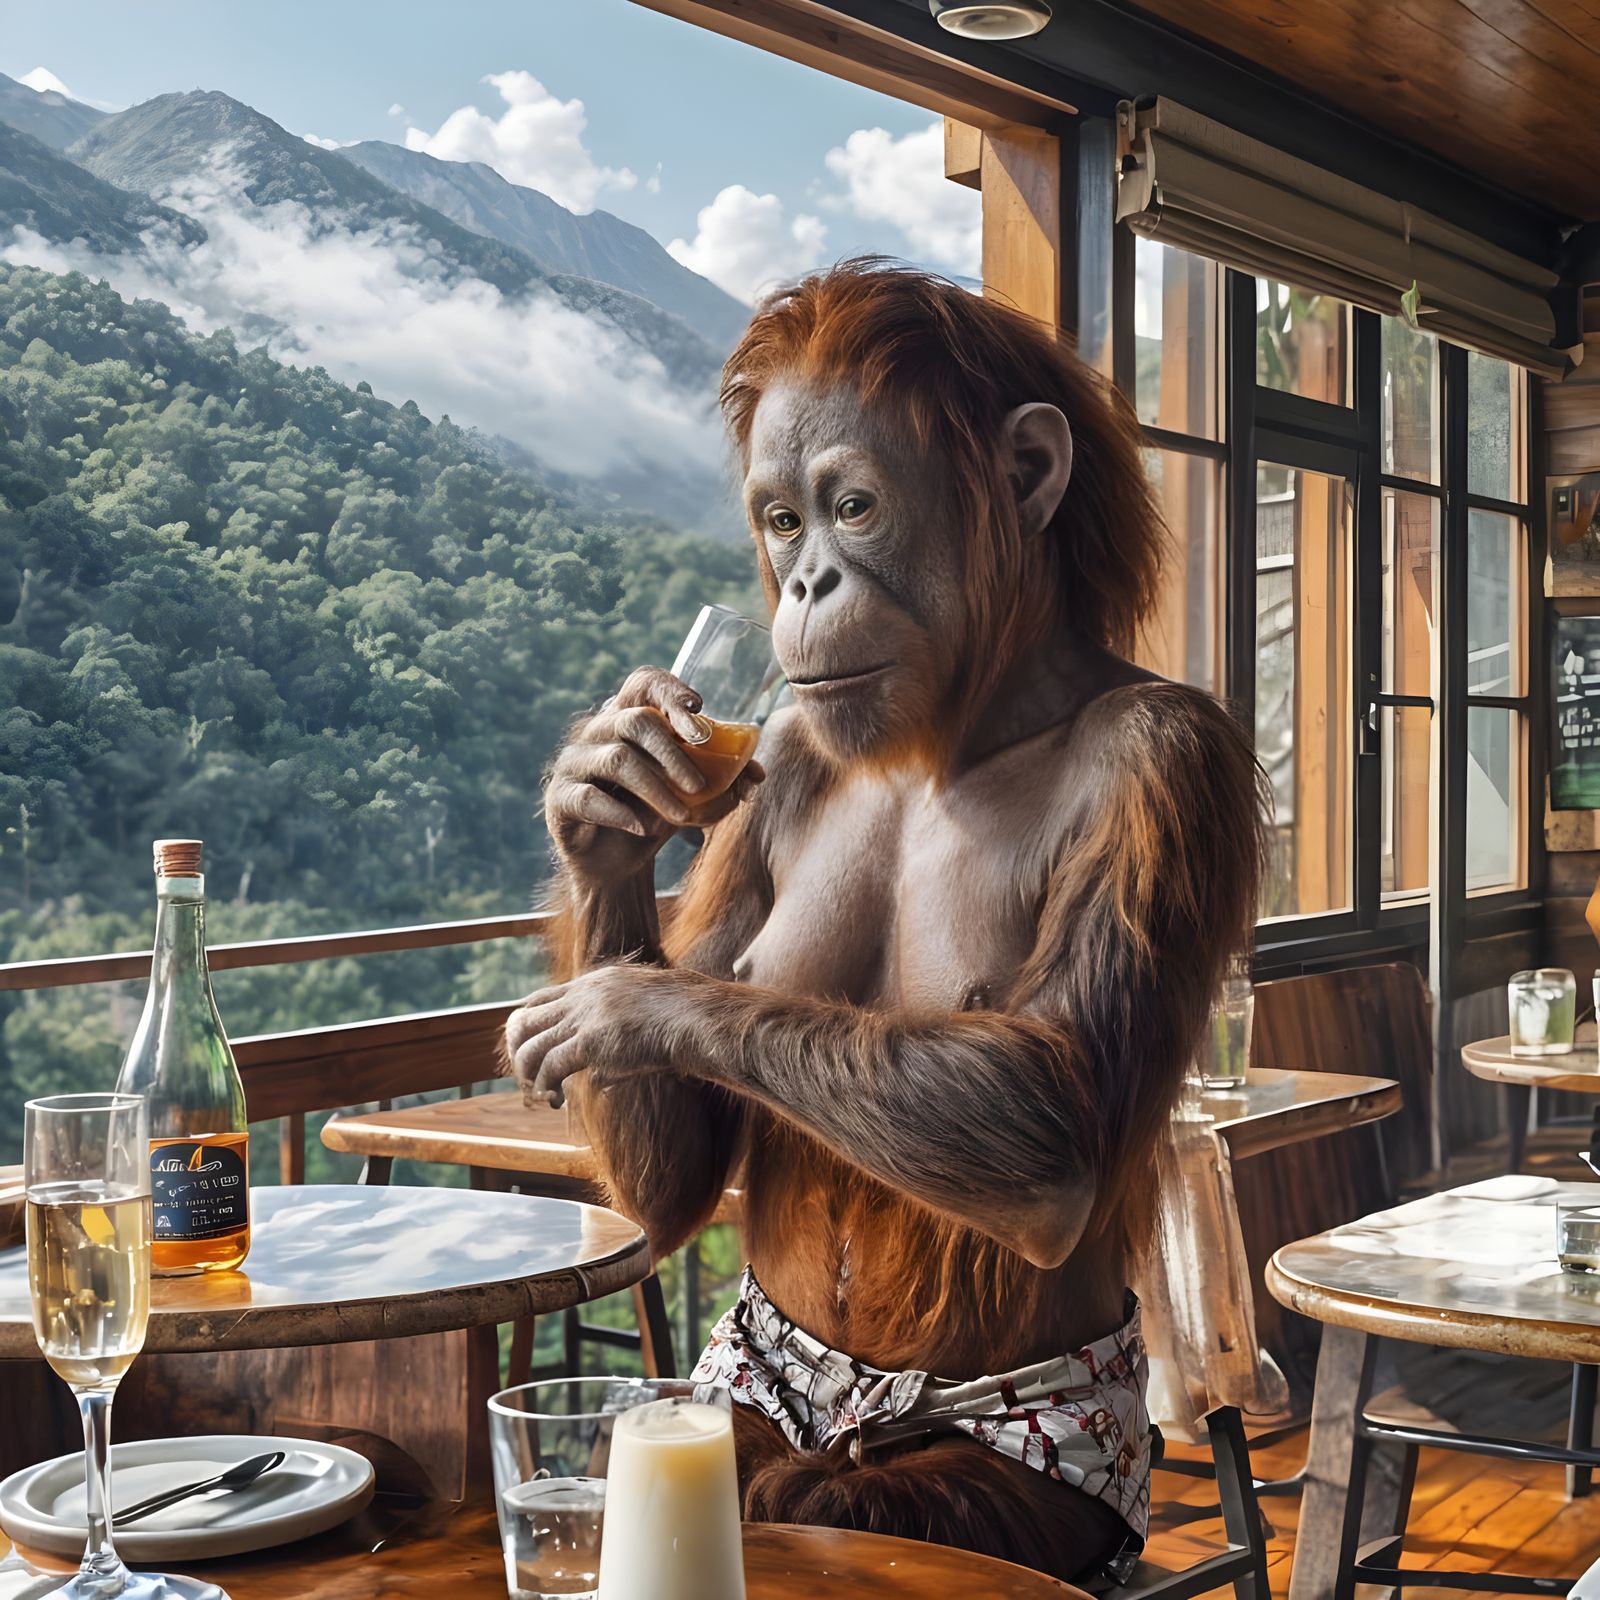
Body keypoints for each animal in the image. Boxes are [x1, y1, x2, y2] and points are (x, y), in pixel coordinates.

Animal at [504, 261, 1268, 1583]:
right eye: (781, 522)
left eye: (851, 507)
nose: (808, 581)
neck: (968, 729)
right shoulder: (783, 764)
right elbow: (681, 1177)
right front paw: (607, 793)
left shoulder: (1171, 762)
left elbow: (1050, 1106)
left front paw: (622, 1003)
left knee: (853, 1493)